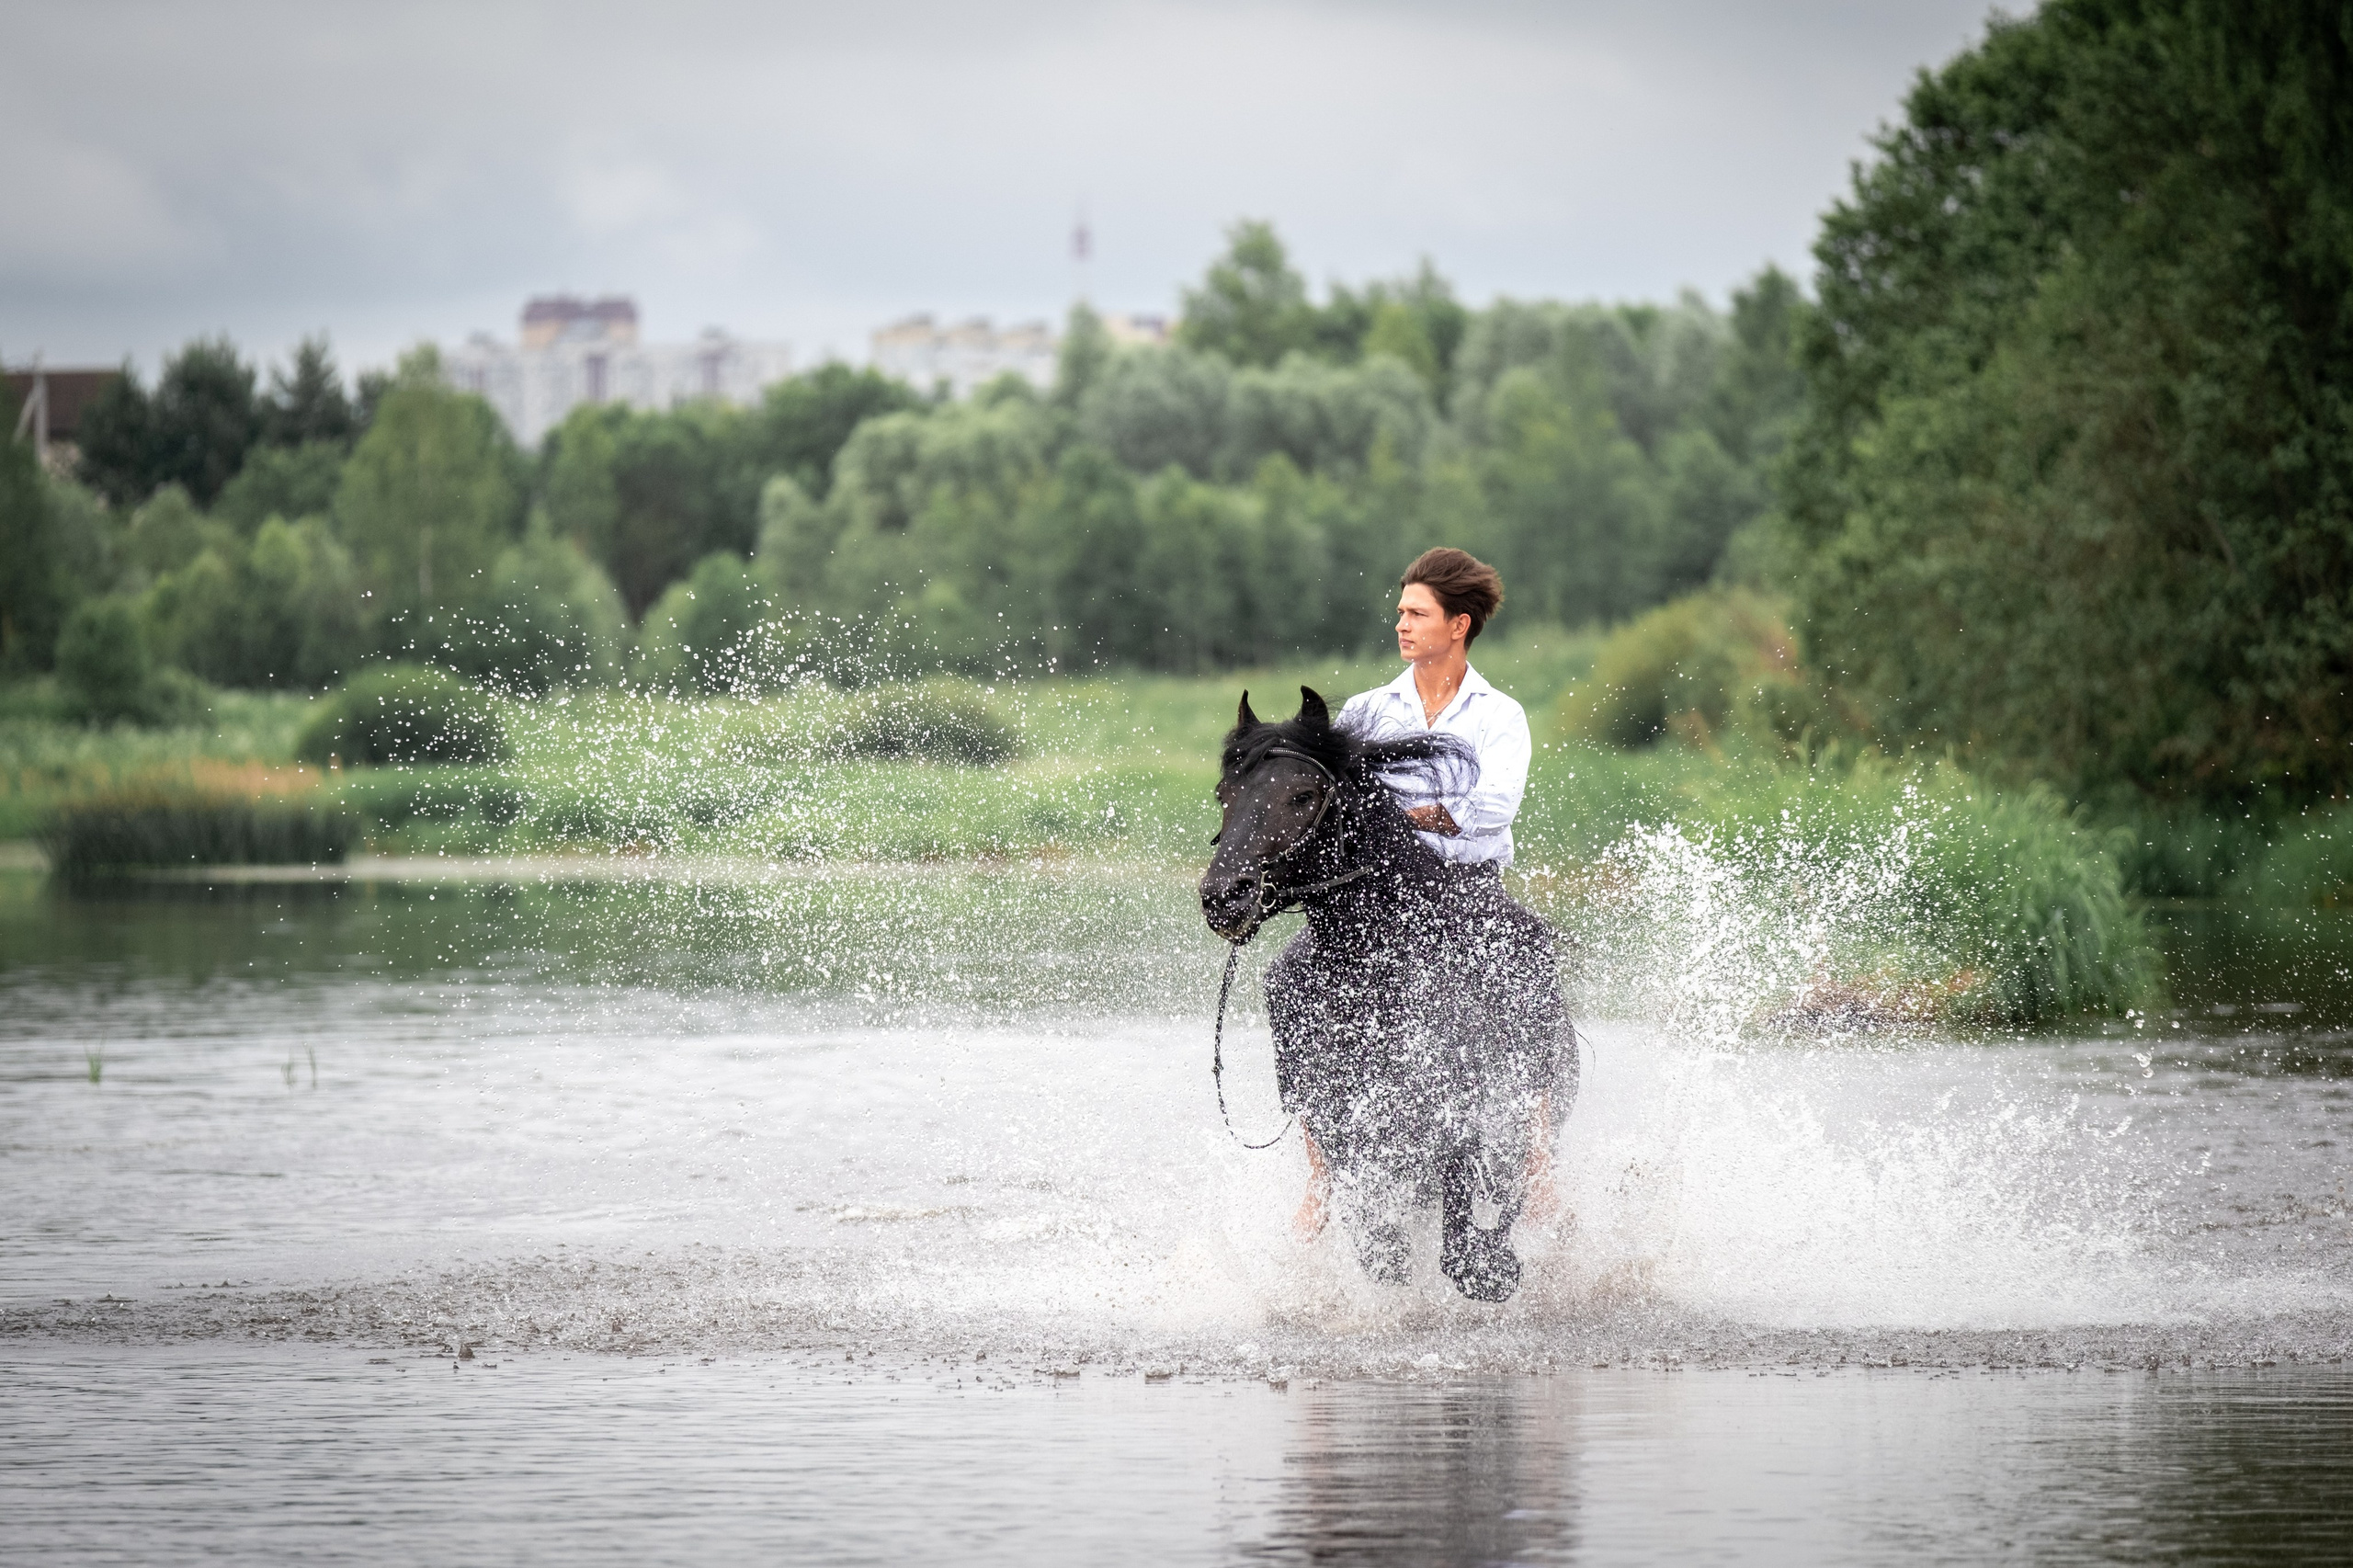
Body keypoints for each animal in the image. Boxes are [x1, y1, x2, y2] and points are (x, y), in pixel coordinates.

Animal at [1198, 685, 1577, 1302]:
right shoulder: (1347, 1133)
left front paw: (1494, 1266)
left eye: (1302, 795)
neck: (1379, 979)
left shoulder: (1465, 1115)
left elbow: (1468, 1225)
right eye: (1224, 795)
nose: (1224, 897)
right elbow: (1381, 1244)